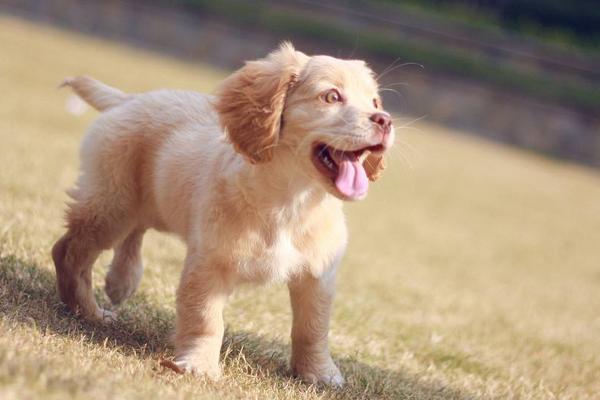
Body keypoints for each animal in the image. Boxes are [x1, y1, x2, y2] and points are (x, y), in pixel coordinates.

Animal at [51, 43, 394, 384]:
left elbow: (313, 328)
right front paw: (198, 364)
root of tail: (129, 99)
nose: (385, 120)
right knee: (68, 251)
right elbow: (205, 319)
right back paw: (88, 310)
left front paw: (319, 373)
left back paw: (121, 279)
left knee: (134, 230)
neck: (291, 201)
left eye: (375, 101)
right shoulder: (209, 265)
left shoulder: (318, 275)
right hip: (111, 205)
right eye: (332, 96)